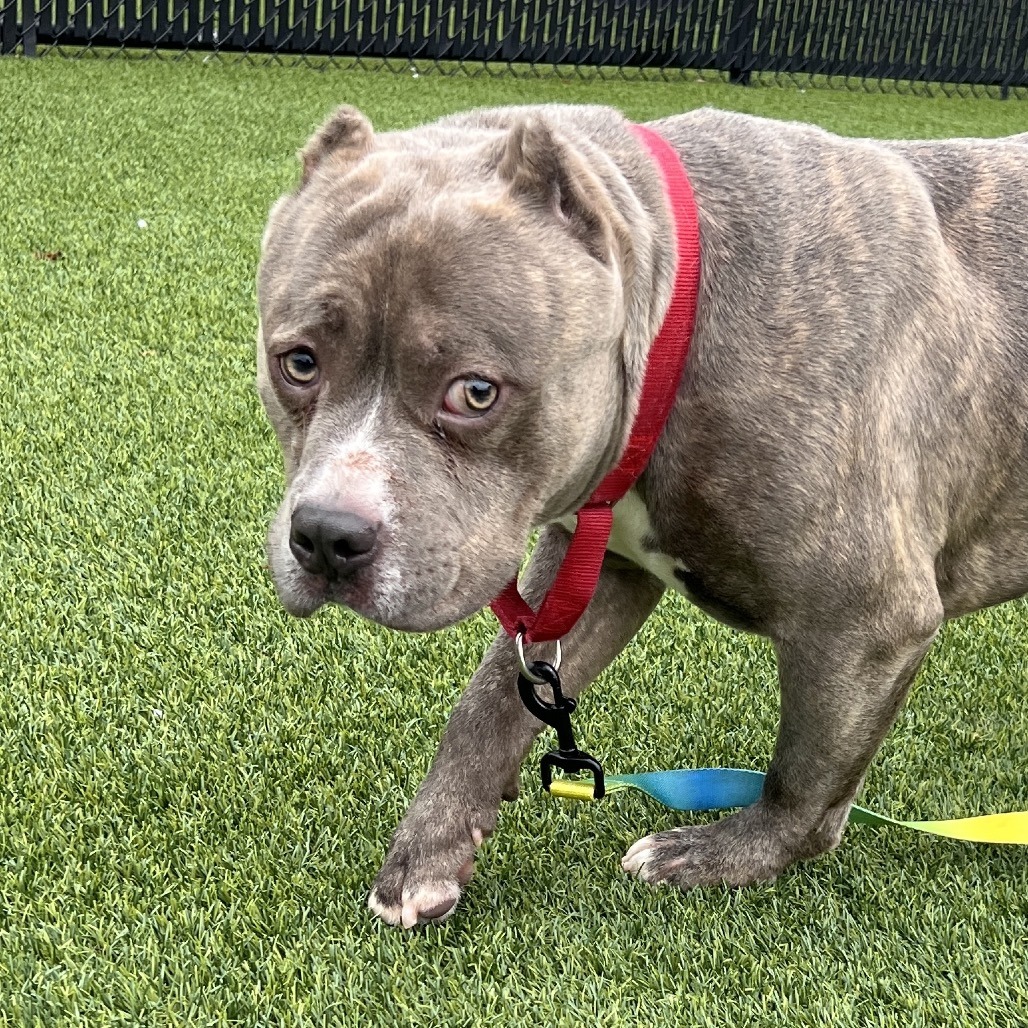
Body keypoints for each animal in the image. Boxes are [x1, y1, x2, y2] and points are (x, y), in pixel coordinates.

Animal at [256, 102, 1028, 928]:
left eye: (475, 392)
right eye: (296, 362)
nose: (327, 537)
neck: (683, 316)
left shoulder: (866, 621)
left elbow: (804, 778)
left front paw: (725, 856)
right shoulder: (600, 565)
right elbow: (490, 700)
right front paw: (429, 849)